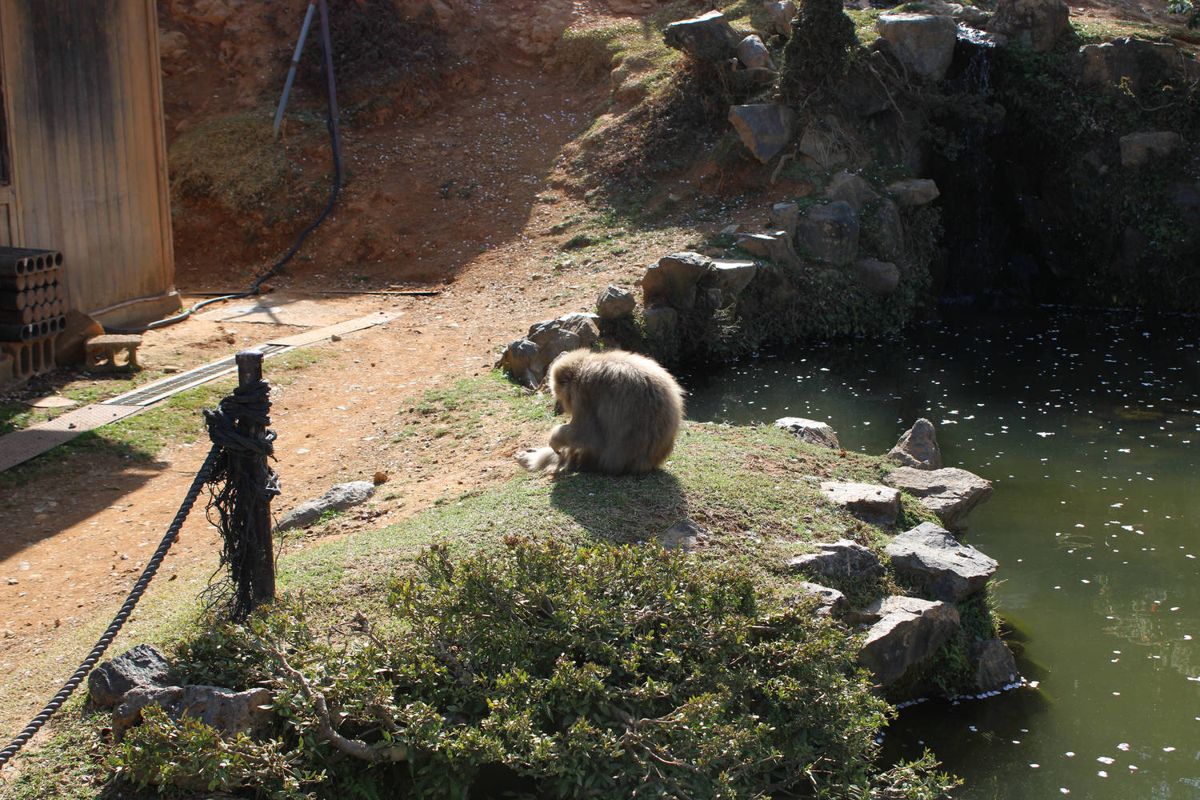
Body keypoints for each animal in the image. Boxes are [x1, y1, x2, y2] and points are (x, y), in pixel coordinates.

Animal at [516, 348, 685, 476]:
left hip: (602, 460)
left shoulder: (582, 393)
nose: (558, 407)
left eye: (559, 395)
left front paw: (554, 440)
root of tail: (647, 465)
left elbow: (587, 434)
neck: (584, 365)